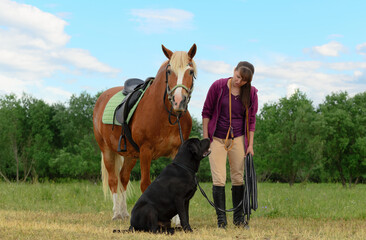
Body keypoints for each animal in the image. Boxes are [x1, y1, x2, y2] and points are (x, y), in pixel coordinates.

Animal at [93, 44, 199, 220]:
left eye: (190, 72)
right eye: (169, 71)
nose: (179, 101)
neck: (164, 114)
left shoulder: (176, 150)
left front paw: (177, 220)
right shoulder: (145, 151)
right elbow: (145, 184)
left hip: (130, 155)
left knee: (123, 178)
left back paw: (124, 212)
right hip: (107, 150)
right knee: (114, 180)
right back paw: (116, 213)